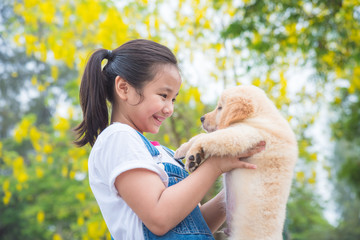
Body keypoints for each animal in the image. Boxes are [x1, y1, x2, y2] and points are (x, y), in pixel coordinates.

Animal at [175, 85, 298, 240]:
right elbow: (202, 136)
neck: (258, 116)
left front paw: (193, 155)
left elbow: (210, 137)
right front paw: (184, 150)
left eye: (220, 108)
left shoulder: (244, 134)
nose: (202, 118)